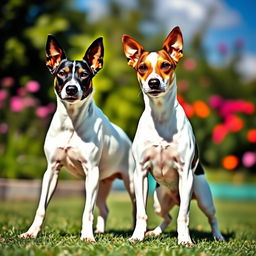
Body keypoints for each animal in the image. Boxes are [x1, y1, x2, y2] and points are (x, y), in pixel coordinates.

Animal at [20, 34, 135, 242]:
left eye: (84, 75)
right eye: (61, 73)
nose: (71, 89)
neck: (71, 123)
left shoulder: (91, 171)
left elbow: (87, 211)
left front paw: (87, 236)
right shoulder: (52, 170)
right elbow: (41, 208)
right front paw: (32, 232)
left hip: (131, 182)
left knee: (136, 208)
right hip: (102, 184)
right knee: (104, 209)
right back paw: (101, 230)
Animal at [122, 27, 224, 245]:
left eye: (166, 65)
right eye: (142, 67)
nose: (153, 82)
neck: (160, 115)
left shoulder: (185, 173)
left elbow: (183, 215)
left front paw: (184, 240)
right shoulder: (140, 173)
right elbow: (141, 213)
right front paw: (137, 236)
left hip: (203, 197)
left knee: (211, 217)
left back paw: (218, 236)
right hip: (159, 200)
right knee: (167, 216)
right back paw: (154, 232)